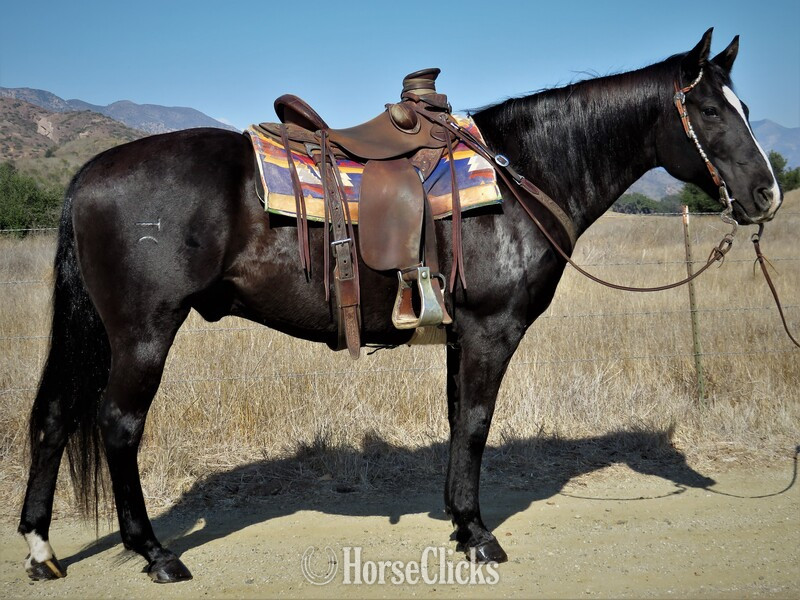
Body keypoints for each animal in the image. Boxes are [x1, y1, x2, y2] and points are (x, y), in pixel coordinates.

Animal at [19, 28, 782, 583]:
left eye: (744, 108)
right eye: (710, 111)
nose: (768, 194)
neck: (523, 174)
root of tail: (91, 172)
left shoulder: (460, 336)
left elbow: (457, 422)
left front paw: (458, 520)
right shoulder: (491, 332)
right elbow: (475, 424)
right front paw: (478, 535)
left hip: (101, 332)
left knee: (55, 417)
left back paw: (41, 549)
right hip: (144, 332)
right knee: (117, 426)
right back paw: (154, 553)